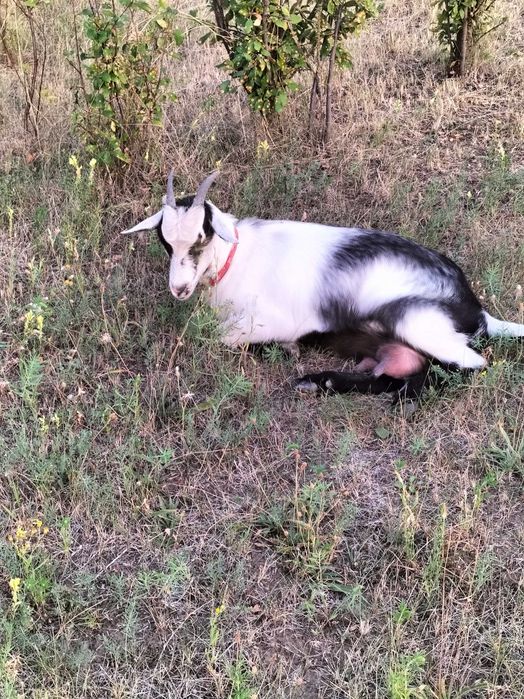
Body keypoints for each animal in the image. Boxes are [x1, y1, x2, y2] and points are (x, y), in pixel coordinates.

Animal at [123, 171, 524, 397]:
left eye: (202, 237)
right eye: (164, 241)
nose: (179, 289)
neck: (237, 258)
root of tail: (477, 311)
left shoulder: (270, 321)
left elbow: (220, 340)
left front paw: (287, 349)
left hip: (418, 323)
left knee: (469, 366)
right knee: (393, 373)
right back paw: (319, 382)